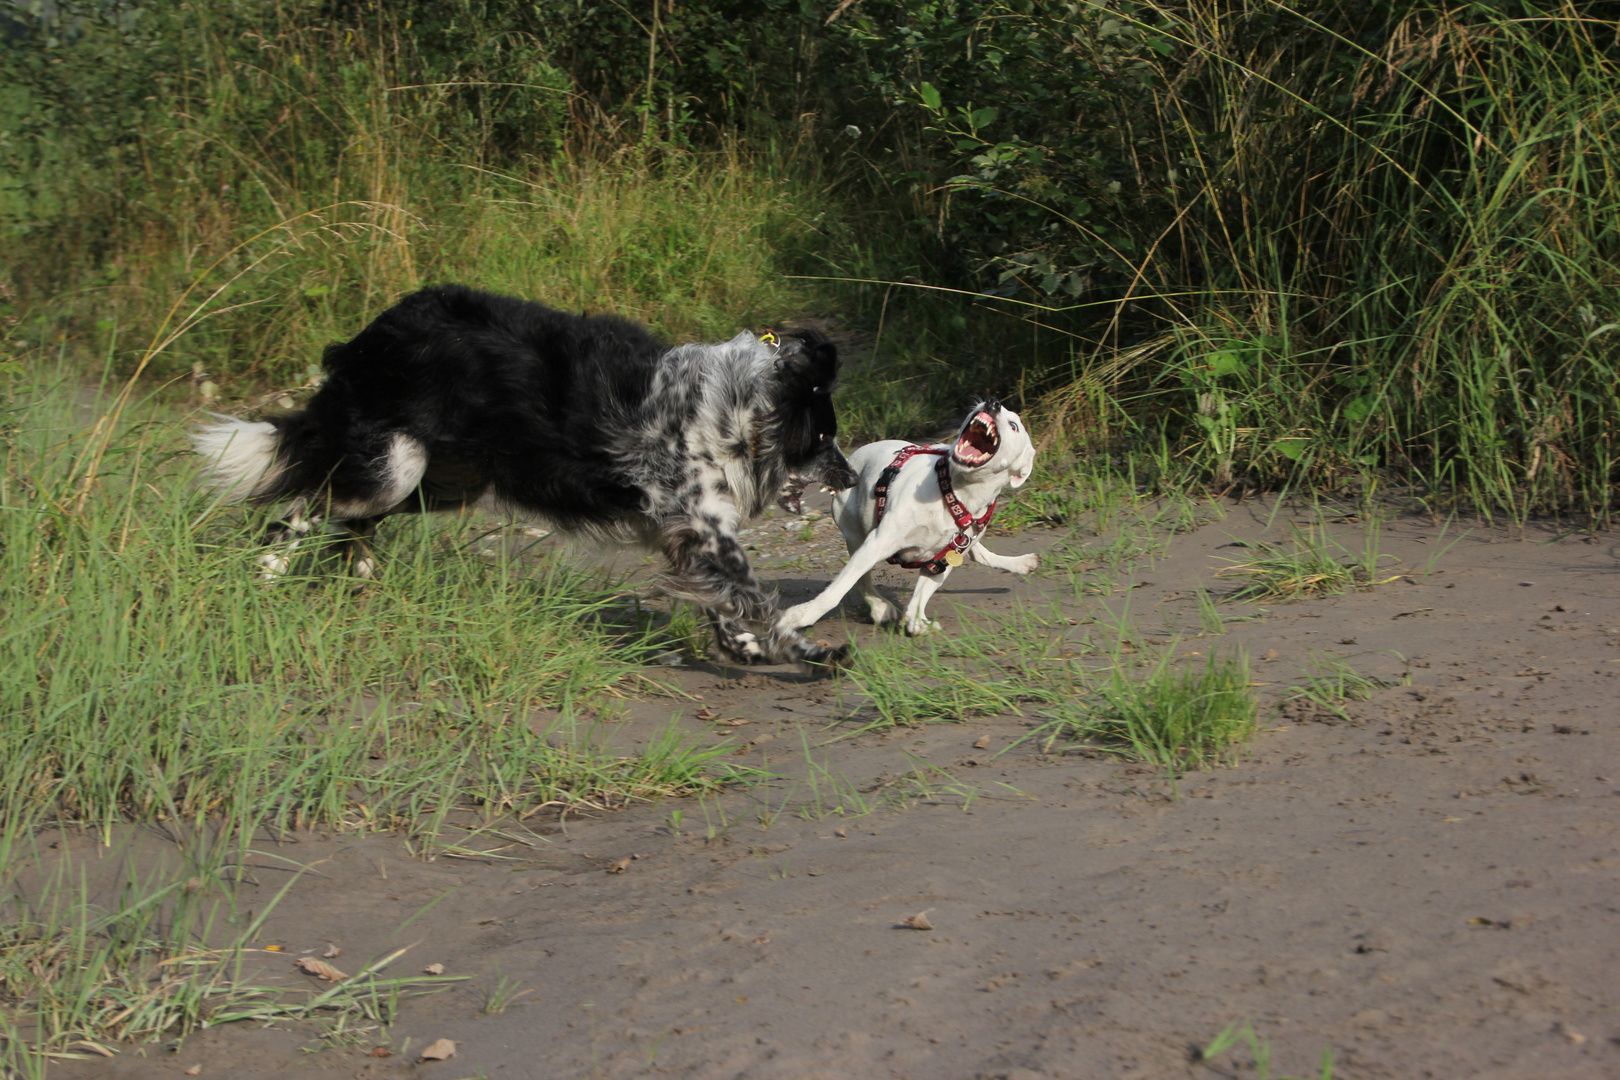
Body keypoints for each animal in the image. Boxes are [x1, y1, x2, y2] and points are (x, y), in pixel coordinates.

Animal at [191, 278, 861, 667]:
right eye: (823, 437)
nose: (853, 478)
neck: (740, 410)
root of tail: (373, 333)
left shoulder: (689, 534)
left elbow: (724, 599)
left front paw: (743, 646)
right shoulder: (702, 525)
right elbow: (757, 598)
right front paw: (807, 650)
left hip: (445, 478)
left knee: (352, 519)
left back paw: (360, 578)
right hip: (397, 464)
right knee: (306, 504)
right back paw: (268, 570)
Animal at [774, 403, 1036, 641]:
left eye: (1014, 426)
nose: (992, 403)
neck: (955, 493)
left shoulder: (943, 560)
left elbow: (920, 596)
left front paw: (917, 621)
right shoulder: (878, 542)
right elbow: (836, 591)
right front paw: (799, 617)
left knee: (979, 553)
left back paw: (1022, 563)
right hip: (856, 536)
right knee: (861, 581)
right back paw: (879, 606)